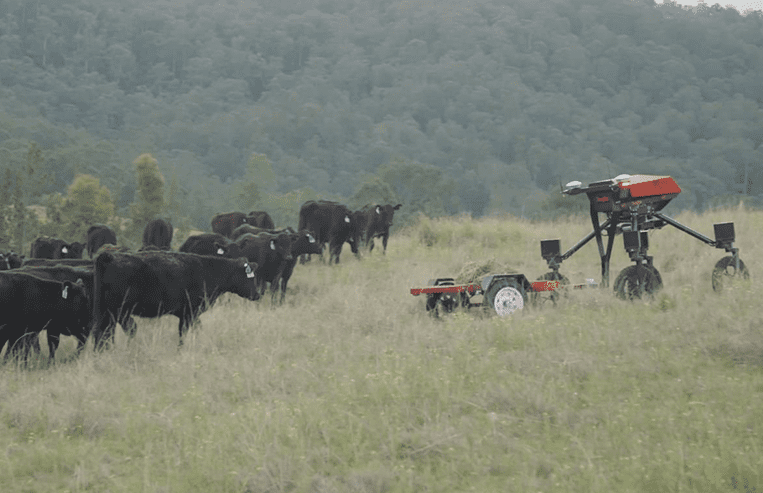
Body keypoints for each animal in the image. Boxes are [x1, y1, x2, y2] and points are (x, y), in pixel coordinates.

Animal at [90, 250, 260, 346]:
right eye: (249, 276)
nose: (258, 294)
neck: (208, 271)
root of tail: (110, 256)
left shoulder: (192, 314)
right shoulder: (188, 313)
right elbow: (183, 333)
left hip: (106, 312)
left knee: (103, 333)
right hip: (120, 311)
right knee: (127, 330)